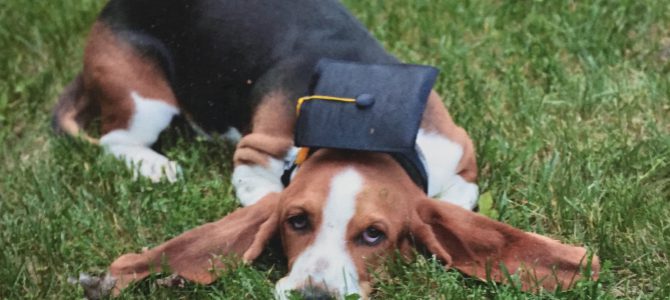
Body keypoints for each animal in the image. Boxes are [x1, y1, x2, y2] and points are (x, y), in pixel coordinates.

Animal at [53, 0, 604, 298]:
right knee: (115, 138)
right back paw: (155, 167)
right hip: (146, 102)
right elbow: (261, 198)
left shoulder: (461, 167)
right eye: (296, 222)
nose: (312, 295)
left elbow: (454, 207)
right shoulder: (254, 155)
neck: (372, 130)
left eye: (375, 236)